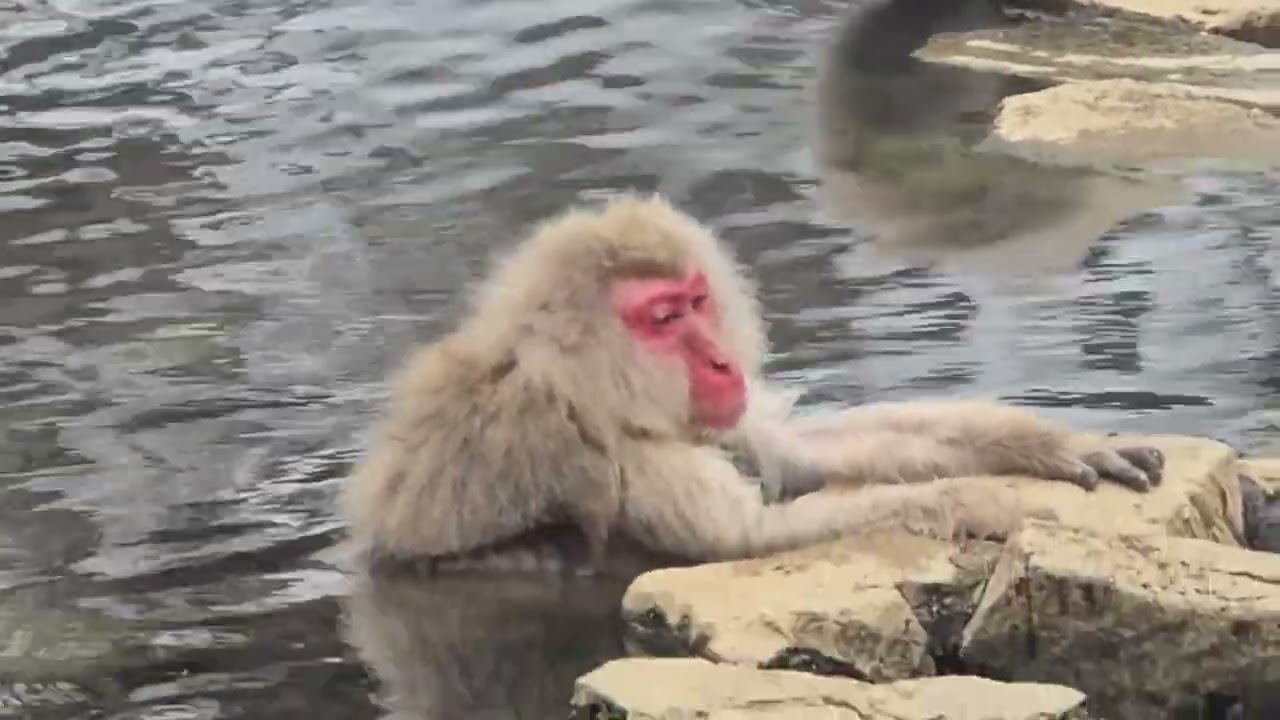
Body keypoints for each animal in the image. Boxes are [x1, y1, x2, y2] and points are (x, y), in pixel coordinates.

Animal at [339, 194, 1165, 578]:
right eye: (662, 318)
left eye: (697, 301)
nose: (720, 364)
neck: (587, 388)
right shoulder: (620, 463)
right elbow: (747, 541)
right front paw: (975, 502)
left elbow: (797, 454)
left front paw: (1048, 443)